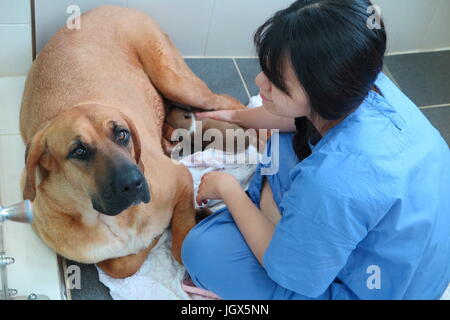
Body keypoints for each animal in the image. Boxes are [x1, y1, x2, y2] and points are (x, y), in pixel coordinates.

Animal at [20, 6, 246, 278]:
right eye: (79, 151)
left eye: (122, 134)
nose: (134, 183)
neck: (106, 219)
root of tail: (118, 7)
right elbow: (120, 266)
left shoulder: (180, 178)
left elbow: (180, 248)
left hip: (175, 81)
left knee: (229, 102)